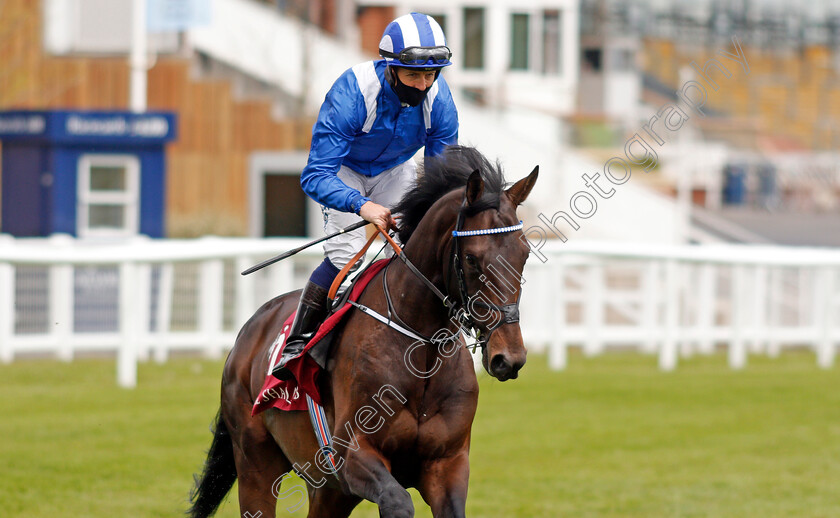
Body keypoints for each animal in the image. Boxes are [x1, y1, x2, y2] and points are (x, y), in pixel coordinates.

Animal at [189, 146, 540, 518]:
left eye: (524, 254)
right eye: (472, 259)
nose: (508, 357)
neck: (422, 351)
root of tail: (249, 330)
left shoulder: (448, 463)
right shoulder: (352, 455)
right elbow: (398, 501)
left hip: (328, 490)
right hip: (256, 463)